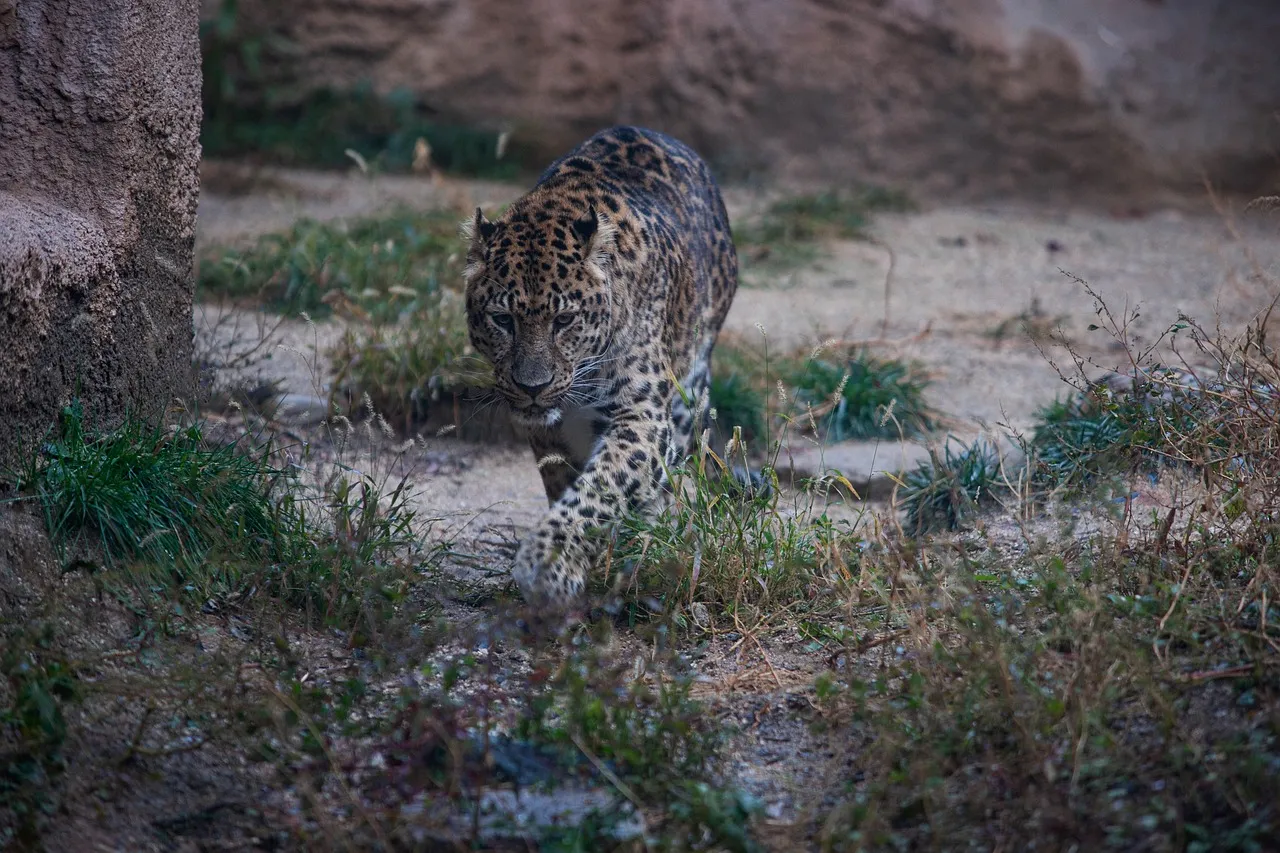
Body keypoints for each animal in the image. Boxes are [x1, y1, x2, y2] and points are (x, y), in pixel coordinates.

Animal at [462, 125, 744, 610]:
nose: (531, 386)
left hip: (689, 392)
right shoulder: (546, 432)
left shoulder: (642, 415)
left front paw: (548, 563)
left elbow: (601, 490)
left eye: (563, 321)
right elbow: (566, 485)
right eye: (503, 320)